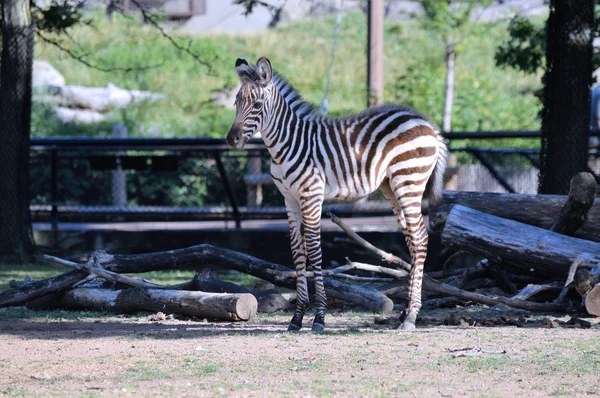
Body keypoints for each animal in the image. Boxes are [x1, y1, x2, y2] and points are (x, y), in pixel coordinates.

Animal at [227, 55, 448, 330]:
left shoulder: (311, 196)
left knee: (420, 238)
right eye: (236, 103)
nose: (231, 140)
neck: (285, 145)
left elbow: (314, 251)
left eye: (257, 104)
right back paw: (405, 312)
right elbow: (297, 252)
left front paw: (319, 317)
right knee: (411, 239)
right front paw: (297, 318)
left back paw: (411, 317)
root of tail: (425, 122)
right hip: (392, 186)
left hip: (409, 181)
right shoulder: (290, 199)